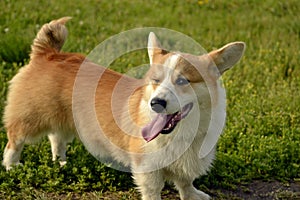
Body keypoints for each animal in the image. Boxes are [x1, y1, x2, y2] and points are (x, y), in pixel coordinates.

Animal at [2, 17, 245, 200]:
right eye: (155, 80)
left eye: (182, 81)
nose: (156, 103)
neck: (182, 131)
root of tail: (48, 53)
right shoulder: (147, 166)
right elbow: (153, 190)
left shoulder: (189, 162)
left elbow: (185, 182)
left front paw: (193, 195)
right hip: (31, 118)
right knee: (15, 140)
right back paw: (12, 167)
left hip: (65, 119)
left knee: (56, 138)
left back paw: (61, 163)